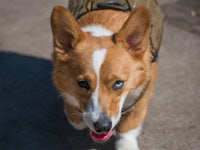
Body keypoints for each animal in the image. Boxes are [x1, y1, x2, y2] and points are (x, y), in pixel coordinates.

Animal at [50, 0, 163, 149]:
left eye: (119, 83)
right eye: (83, 84)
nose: (102, 127)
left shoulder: (143, 92)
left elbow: (129, 125)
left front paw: (126, 143)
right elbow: (76, 120)